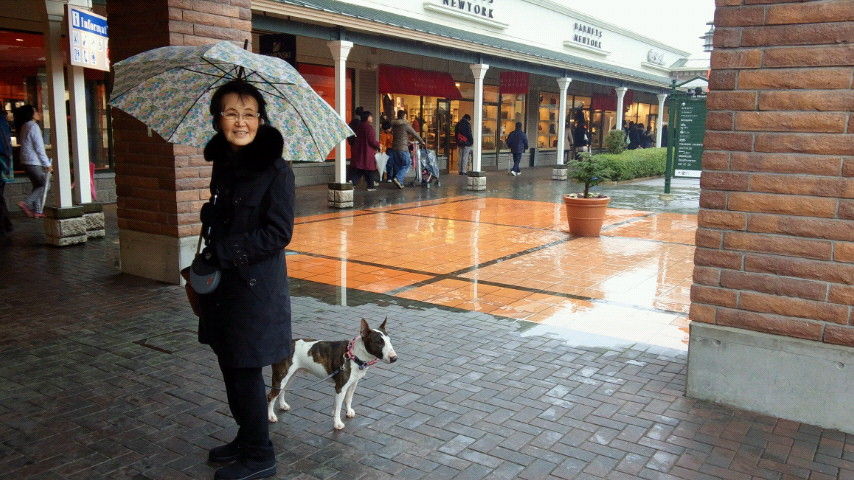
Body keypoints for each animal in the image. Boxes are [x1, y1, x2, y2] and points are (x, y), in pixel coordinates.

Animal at [266, 318, 397, 430]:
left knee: (283, 391)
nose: (394, 358)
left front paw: (348, 412)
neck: (355, 355)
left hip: (290, 376)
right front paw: (337, 423)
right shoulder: (340, 387)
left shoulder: (353, 384)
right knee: (271, 396)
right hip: (280, 376)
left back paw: (283, 405)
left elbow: (348, 399)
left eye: (390, 341)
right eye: (379, 342)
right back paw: (271, 416)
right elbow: (338, 406)